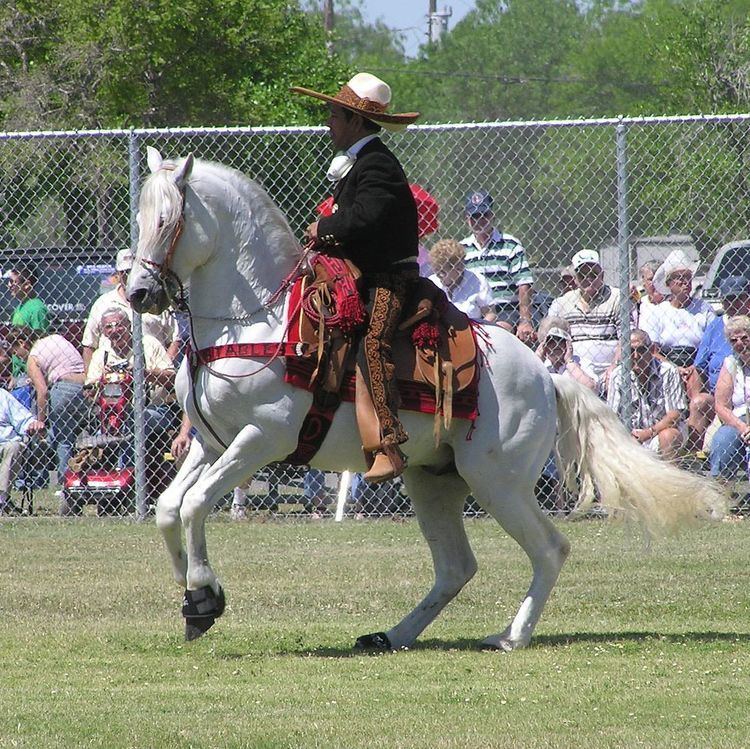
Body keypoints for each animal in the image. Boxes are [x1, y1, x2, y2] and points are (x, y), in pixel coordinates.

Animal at [128, 148, 728, 648]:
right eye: (139, 219)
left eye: (166, 222)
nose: (137, 293)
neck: (258, 320)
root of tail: (544, 376)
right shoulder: (211, 443)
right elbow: (168, 507)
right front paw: (194, 598)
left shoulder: (260, 440)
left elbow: (196, 504)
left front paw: (204, 593)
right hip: (432, 481)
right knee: (456, 567)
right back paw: (392, 635)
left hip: (497, 482)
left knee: (549, 549)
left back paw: (510, 637)